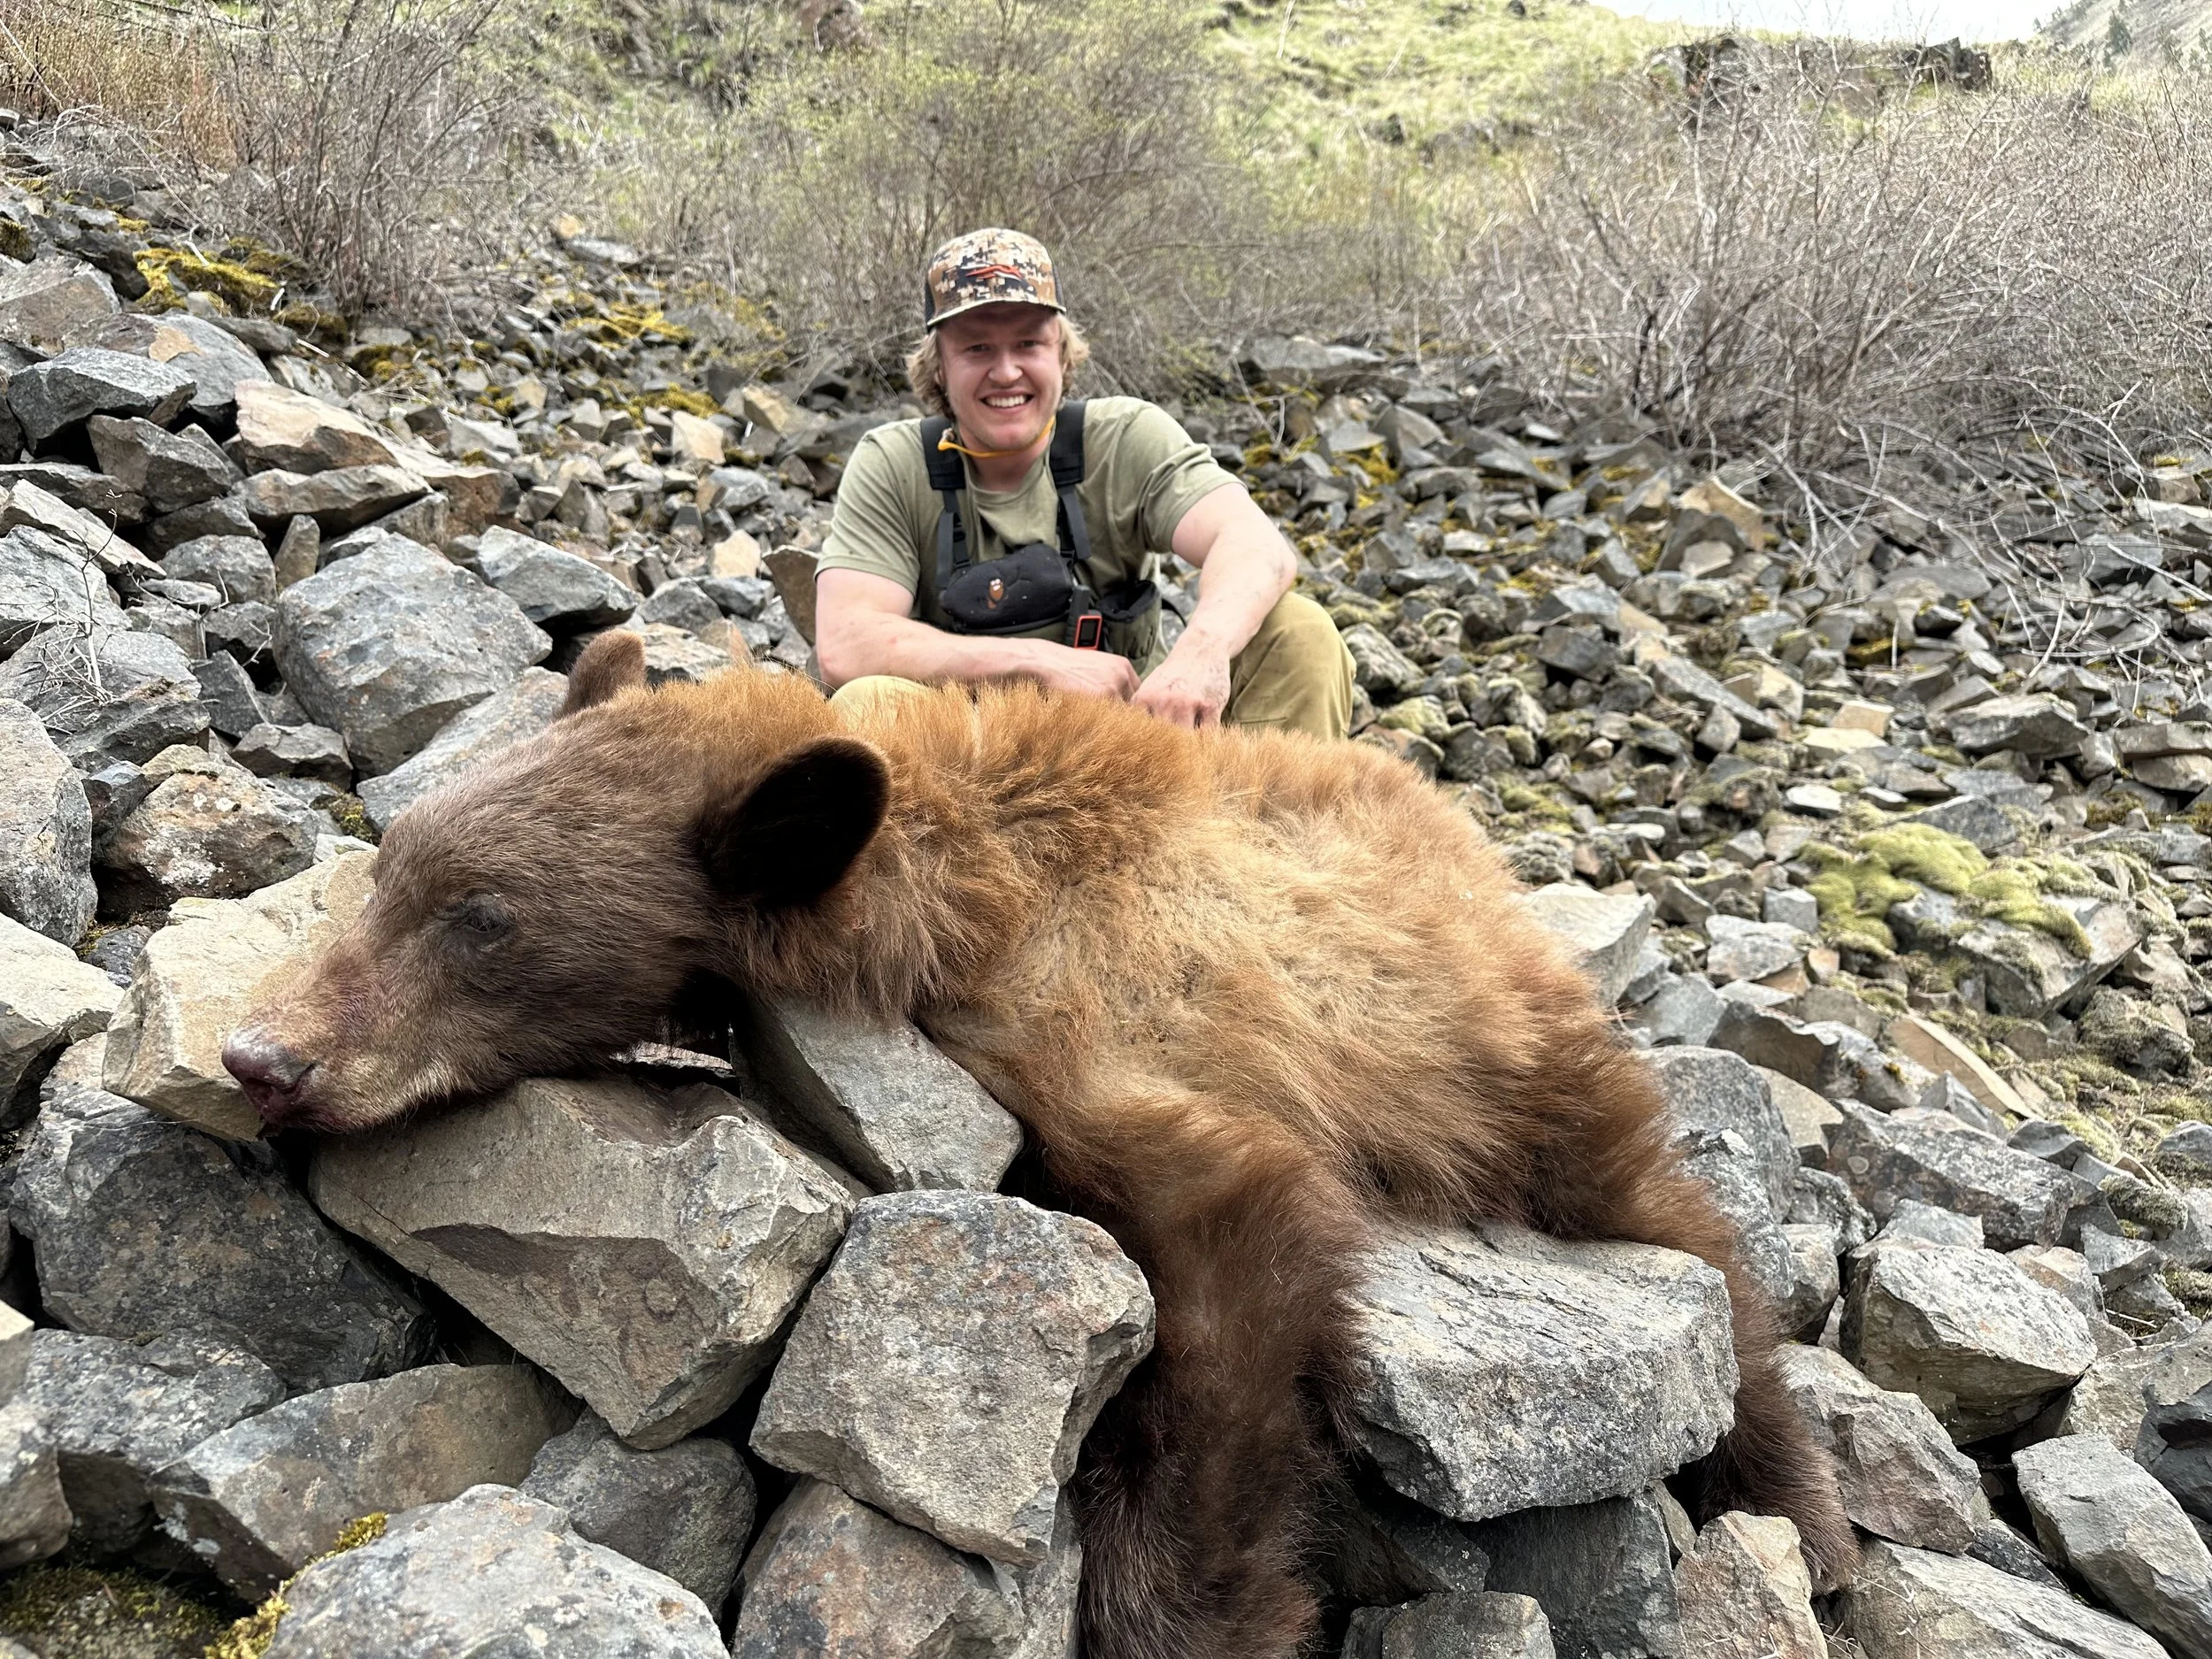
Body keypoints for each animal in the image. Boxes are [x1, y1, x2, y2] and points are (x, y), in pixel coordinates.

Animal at [226, 630, 1853, 1658]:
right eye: (396, 860)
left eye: (485, 921)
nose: (262, 1054)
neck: (955, 885)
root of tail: (1461, 829)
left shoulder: (1131, 1037)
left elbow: (1235, 1299)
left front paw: (1202, 1615)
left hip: (1496, 1055)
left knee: (1680, 1242)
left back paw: (1801, 1516)